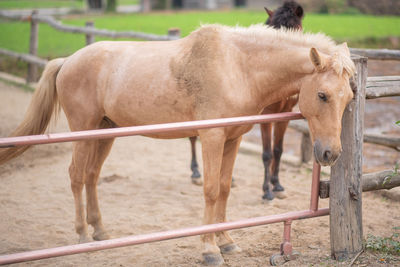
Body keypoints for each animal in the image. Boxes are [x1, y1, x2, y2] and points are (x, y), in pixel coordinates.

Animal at [0, 24, 356, 266]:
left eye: (349, 96)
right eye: (322, 95)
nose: (331, 153)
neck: (238, 66)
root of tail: (67, 60)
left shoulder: (233, 139)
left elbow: (224, 189)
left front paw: (226, 241)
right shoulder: (212, 138)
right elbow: (210, 190)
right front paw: (210, 250)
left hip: (104, 133)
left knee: (91, 176)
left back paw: (99, 232)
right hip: (83, 132)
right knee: (76, 175)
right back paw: (83, 236)